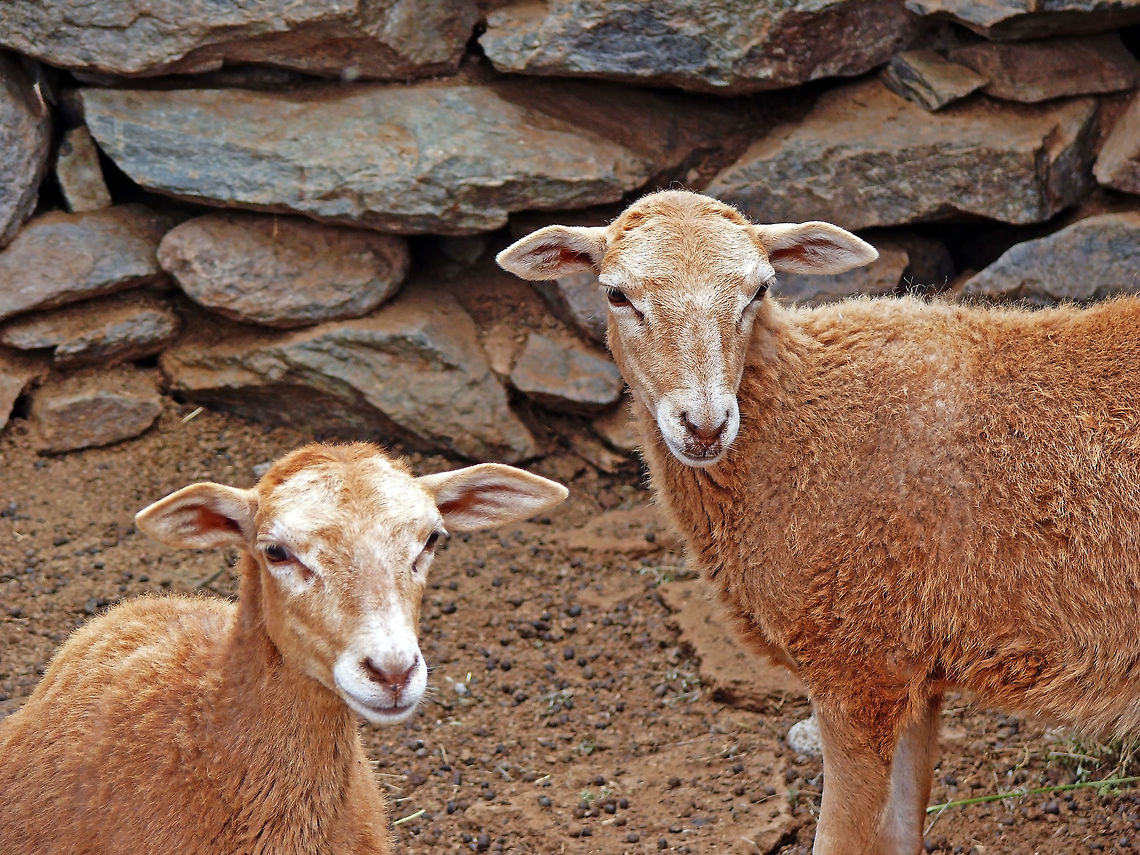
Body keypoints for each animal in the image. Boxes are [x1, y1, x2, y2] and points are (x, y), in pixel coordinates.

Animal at [498, 189, 1140, 855]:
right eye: (616, 294)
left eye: (760, 289)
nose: (705, 425)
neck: (799, 417)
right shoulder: (913, 664)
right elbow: (901, 831)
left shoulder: (857, 664)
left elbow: (839, 838)